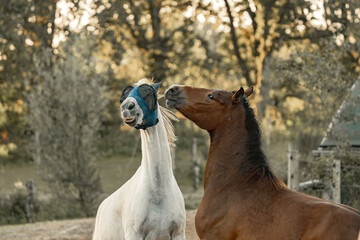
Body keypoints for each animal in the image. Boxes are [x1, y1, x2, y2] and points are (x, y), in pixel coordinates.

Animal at [93, 79, 186, 240]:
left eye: (148, 92)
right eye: (123, 97)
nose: (126, 108)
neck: (158, 192)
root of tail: (102, 207)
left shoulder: (178, 234)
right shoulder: (134, 235)